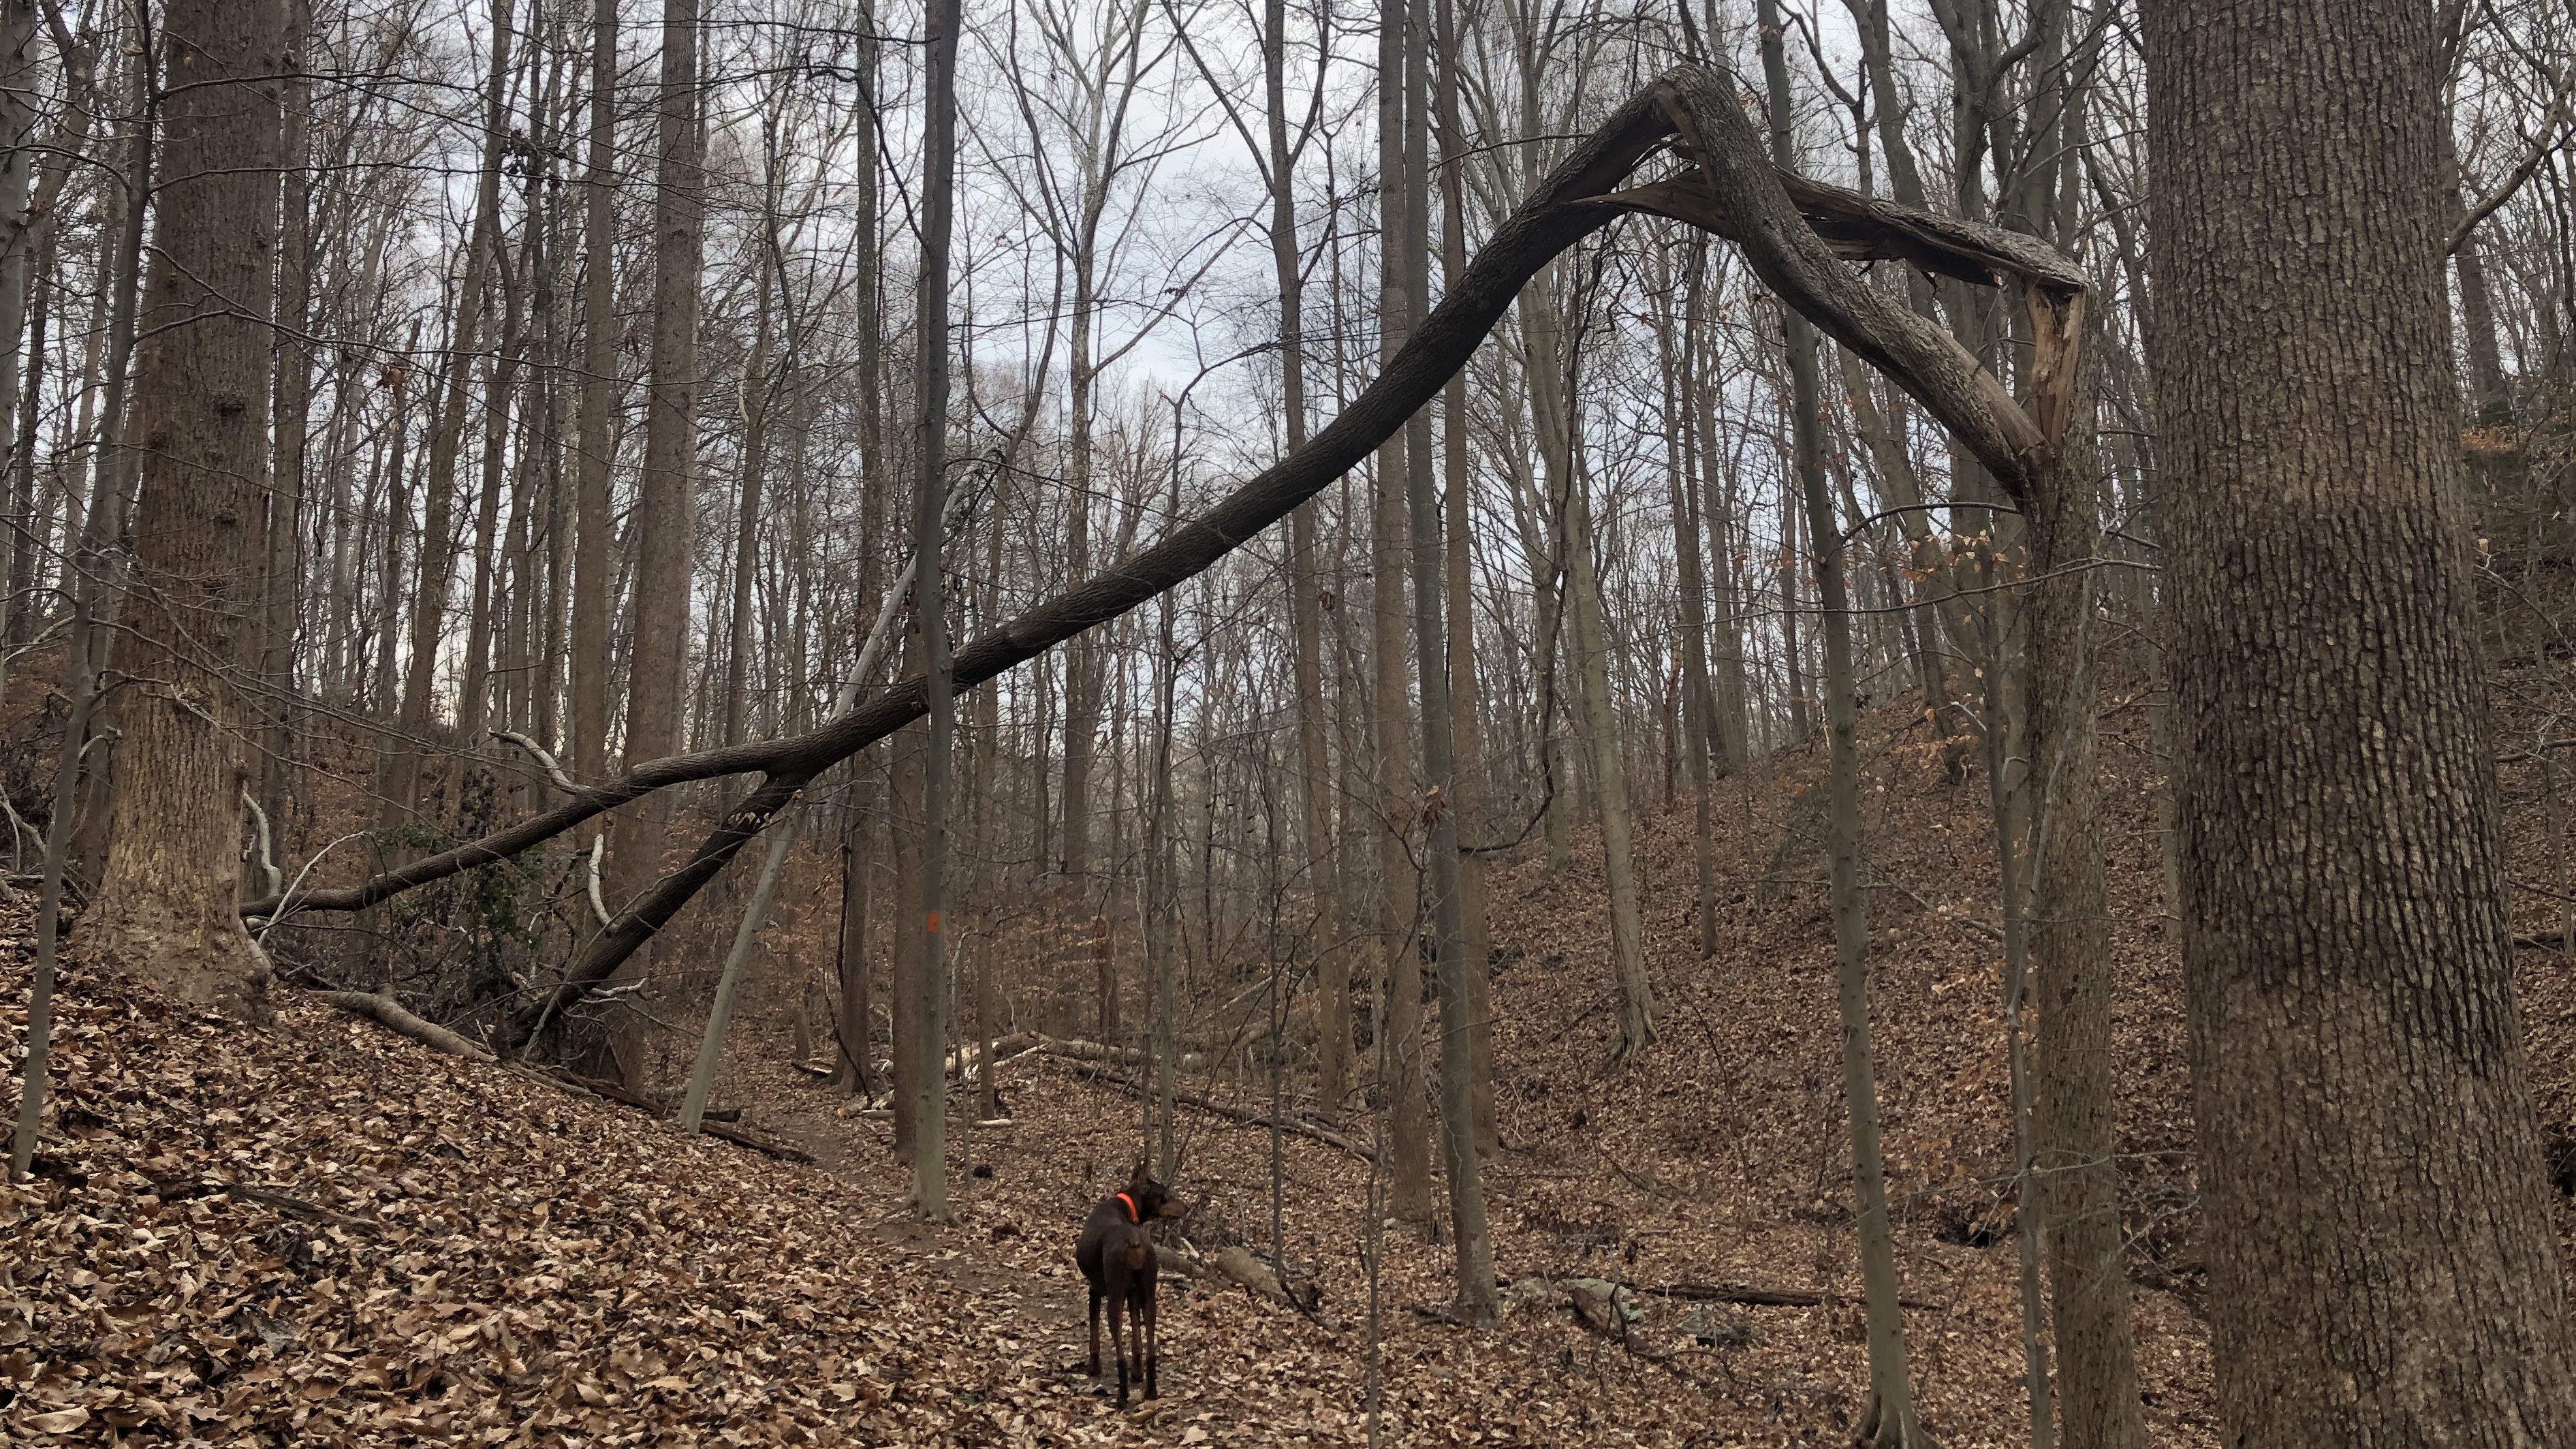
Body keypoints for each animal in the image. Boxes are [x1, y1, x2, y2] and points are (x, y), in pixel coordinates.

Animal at [1071, 1160, 1180, 1402]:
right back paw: (1150, 1390)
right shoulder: (1134, 1294)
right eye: (1163, 1196)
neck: (1125, 1205)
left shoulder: (1095, 1289)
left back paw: (1122, 1394)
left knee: (1119, 1347)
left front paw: (1093, 1367)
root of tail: (1135, 1242)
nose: (1184, 1207)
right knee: (1150, 1346)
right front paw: (1137, 1374)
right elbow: (1137, 1340)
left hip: (1115, 1297)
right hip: (1149, 1296)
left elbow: (1094, 1332)